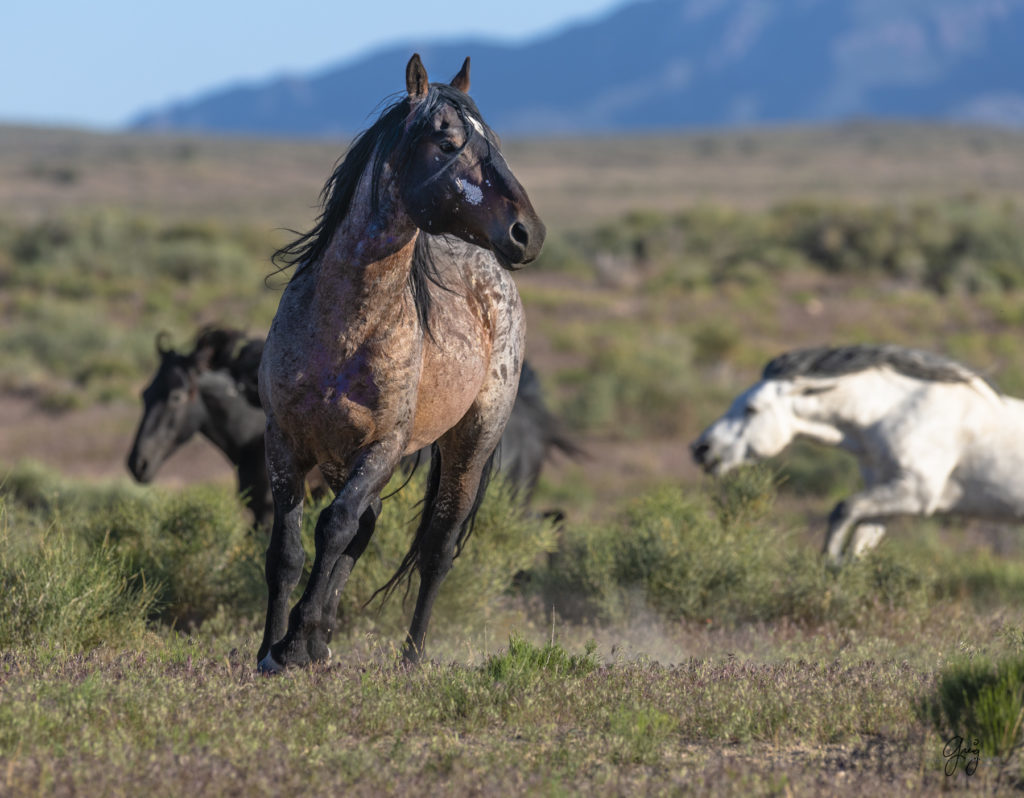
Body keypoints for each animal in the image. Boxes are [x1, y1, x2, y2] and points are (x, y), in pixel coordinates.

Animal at [256, 53, 544, 672]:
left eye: (493, 142)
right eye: (448, 141)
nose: (528, 233)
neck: (343, 329)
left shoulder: (383, 446)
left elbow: (334, 527)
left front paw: (296, 641)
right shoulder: (284, 442)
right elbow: (287, 549)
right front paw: (272, 649)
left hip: (471, 441)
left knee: (437, 545)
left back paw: (410, 657)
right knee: (367, 528)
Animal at [688, 346, 1024, 565]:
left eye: (751, 408)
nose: (702, 449)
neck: (893, 413)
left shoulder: (919, 491)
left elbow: (843, 508)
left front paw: (830, 559)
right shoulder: (890, 495)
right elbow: (861, 537)